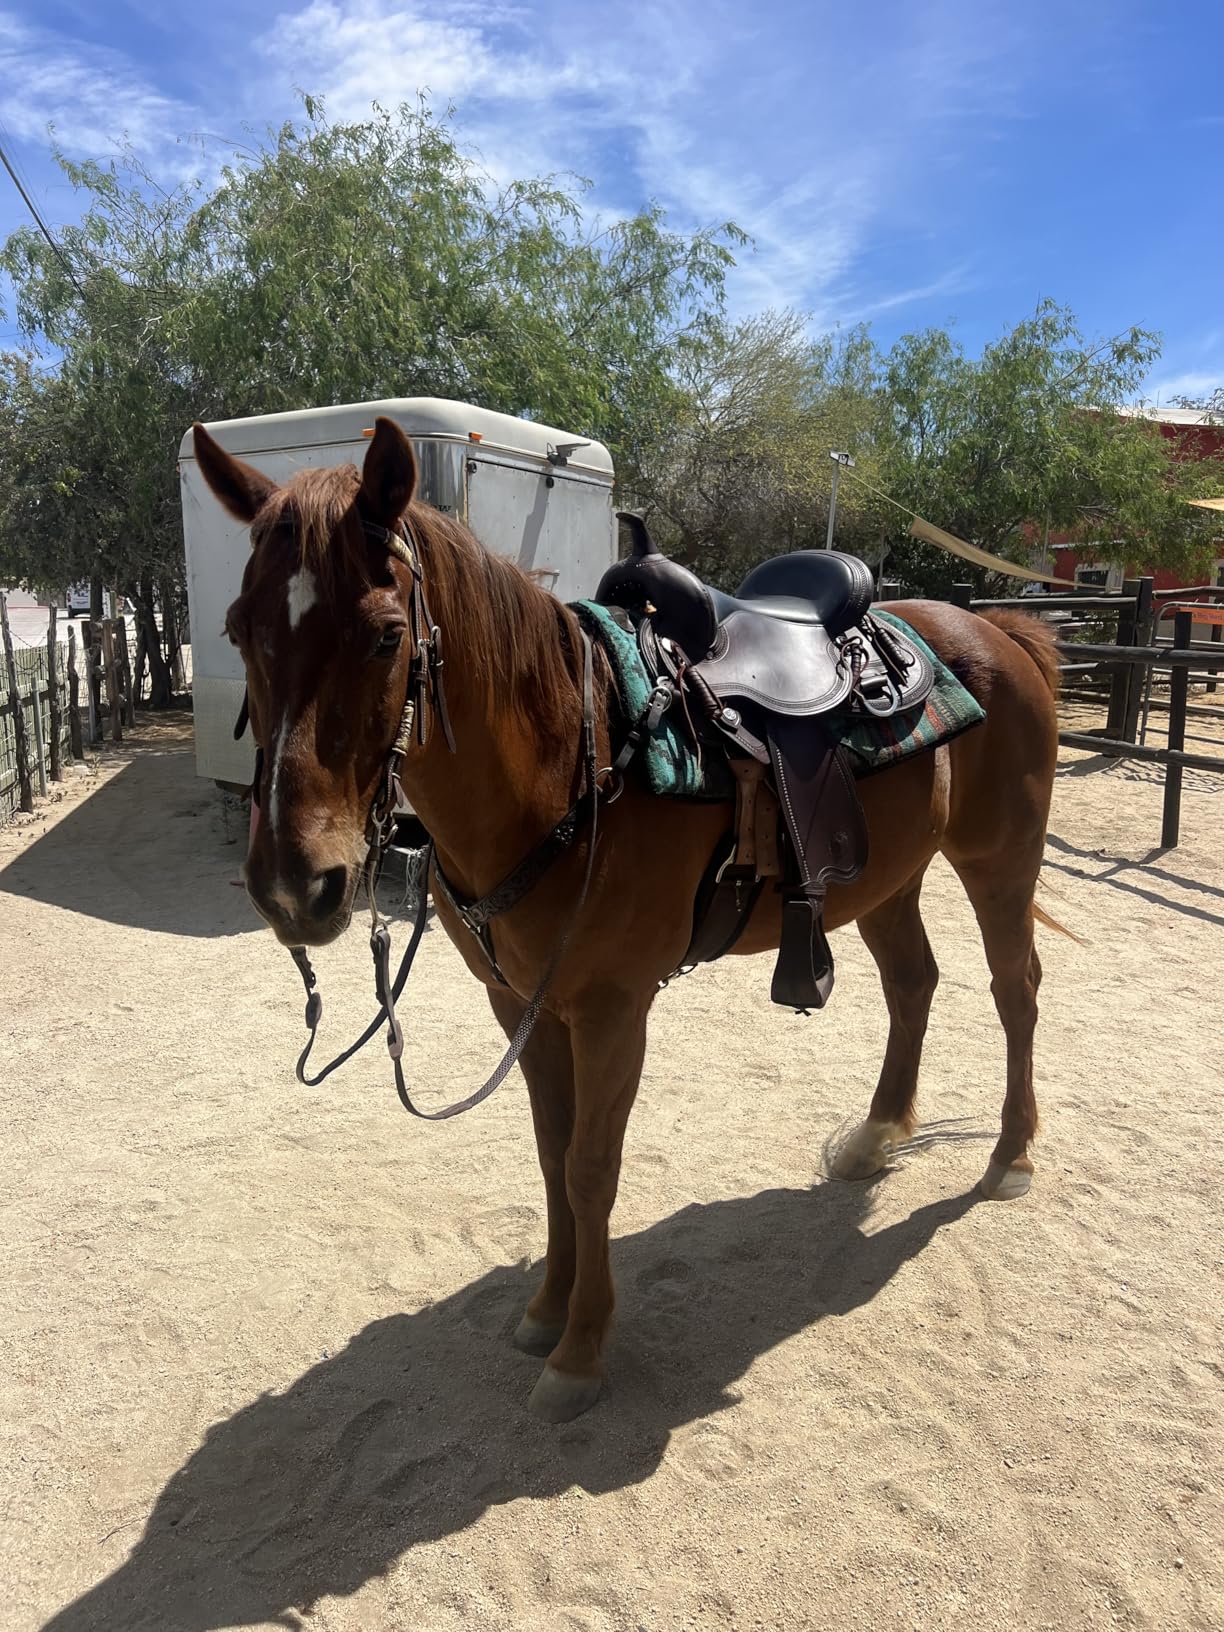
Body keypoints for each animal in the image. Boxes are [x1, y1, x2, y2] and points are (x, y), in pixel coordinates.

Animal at [193, 415, 1062, 1423]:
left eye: (385, 635)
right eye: (238, 628)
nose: (297, 885)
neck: (574, 759)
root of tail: (994, 628)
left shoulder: (613, 1009)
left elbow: (589, 1167)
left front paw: (580, 1351)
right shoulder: (522, 1006)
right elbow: (549, 1157)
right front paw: (544, 1310)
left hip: (998, 861)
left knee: (1016, 990)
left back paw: (1011, 1157)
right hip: (884, 878)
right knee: (913, 984)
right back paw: (876, 1136)